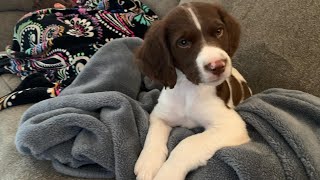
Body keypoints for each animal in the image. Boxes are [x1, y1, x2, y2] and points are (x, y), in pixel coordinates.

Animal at [134, 1, 251, 180]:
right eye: (183, 43)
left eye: (219, 31)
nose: (218, 65)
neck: (190, 88)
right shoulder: (160, 115)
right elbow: (152, 137)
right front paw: (148, 163)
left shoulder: (231, 125)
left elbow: (187, 144)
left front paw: (167, 174)